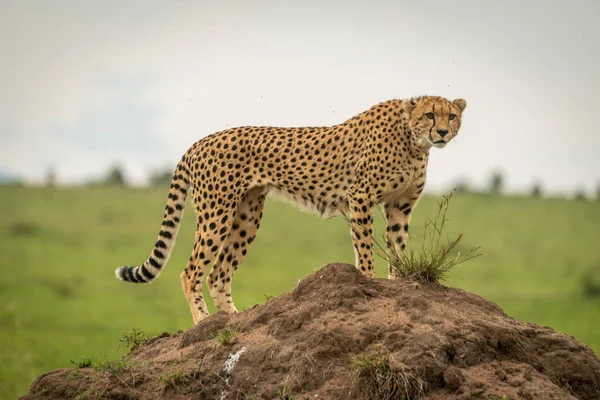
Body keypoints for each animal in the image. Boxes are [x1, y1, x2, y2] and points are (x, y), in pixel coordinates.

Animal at [115, 95, 466, 324]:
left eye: (451, 116)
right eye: (430, 115)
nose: (442, 132)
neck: (413, 141)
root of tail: (200, 141)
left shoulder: (399, 207)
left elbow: (398, 248)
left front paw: (400, 280)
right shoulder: (360, 196)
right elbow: (365, 248)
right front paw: (369, 280)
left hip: (246, 217)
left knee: (218, 274)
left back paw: (234, 319)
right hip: (217, 213)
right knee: (191, 272)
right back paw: (203, 321)